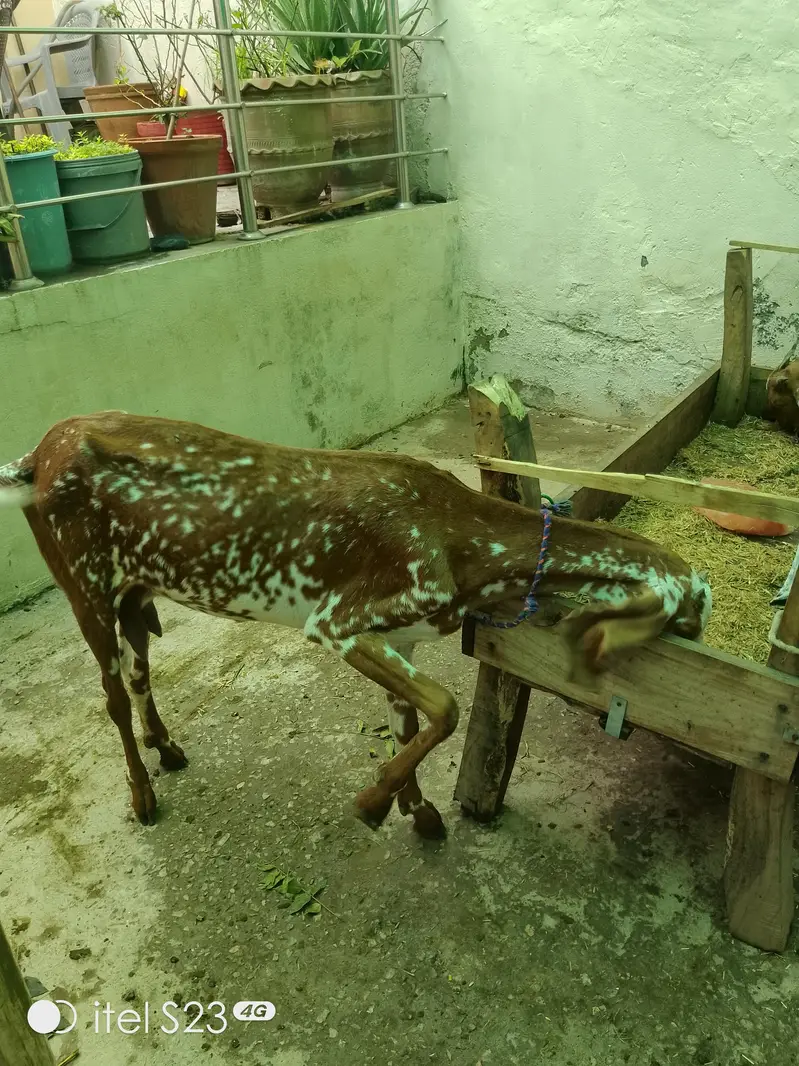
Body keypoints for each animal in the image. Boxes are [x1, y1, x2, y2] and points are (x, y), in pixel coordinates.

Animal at [0, 412, 711, 838]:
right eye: (691, 618)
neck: (458, 537)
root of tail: (35, 455)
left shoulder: (399, 633)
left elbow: (408, 718)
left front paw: (418, 810)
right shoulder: (340, 621)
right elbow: (446, 707)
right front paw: (374, 803)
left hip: (134, 584)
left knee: (140, 662)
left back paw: (168, 747)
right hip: (81, 580)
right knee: (112, 693)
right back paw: (143, 794)